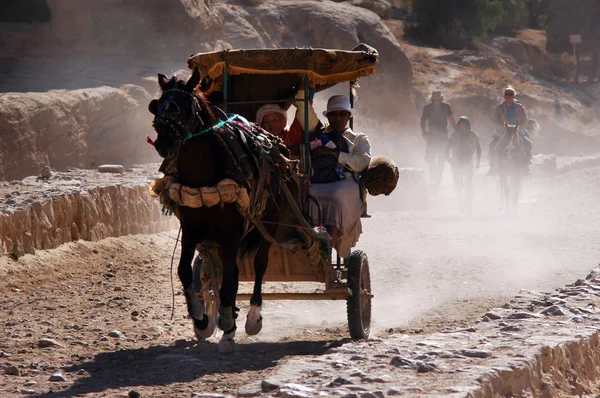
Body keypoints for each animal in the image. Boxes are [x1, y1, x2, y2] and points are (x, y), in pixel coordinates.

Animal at [148, 70, 308, 352]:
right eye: (159, 105)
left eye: (185, 107)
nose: (163, 143)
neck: (204, 175)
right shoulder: (191, 230)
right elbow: (185, 271)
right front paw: (202, 319)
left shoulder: (231, 233)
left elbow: (233, 278)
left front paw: (228, 331)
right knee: (227, 270)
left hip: (268, 225)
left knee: (258, 265)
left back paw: (251, 318)